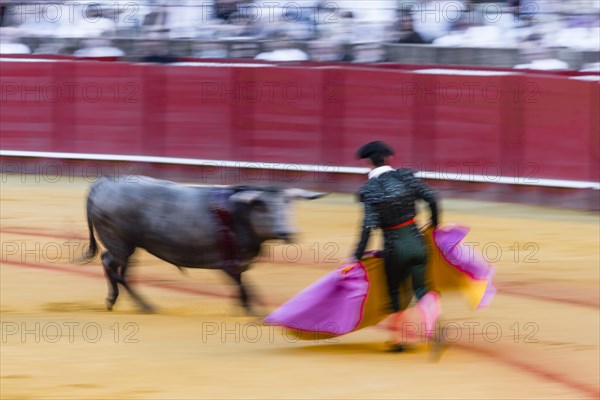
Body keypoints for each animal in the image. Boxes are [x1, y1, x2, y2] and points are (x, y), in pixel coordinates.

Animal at [82, 177, 326, 314]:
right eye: (262, 205)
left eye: (289, 204)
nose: (287, 233)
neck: (239, 215)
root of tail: (104, 184)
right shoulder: (229, 262)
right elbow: (245, 286)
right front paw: (252, 310)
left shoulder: (238, 262)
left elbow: (243, 285)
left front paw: (245, 307)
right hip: (121, 244)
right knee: (113, 266)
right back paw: (142, 305)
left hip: (128, 247)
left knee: (117, 267)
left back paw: (115, 299)